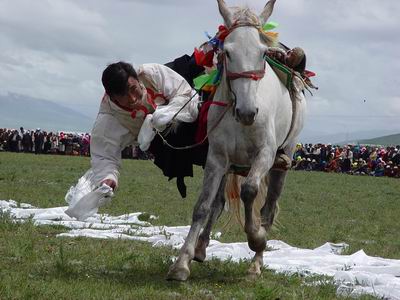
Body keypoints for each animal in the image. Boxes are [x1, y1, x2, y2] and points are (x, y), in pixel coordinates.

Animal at [166, 0, 306, 282]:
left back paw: (256, 264)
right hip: (230, 166)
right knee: (218, 203)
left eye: (262, 53)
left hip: (281, 163)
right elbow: (203, 206)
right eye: (227, 53)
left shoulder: (264, 155)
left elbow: (250, 192)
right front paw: (182, 262)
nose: (248, 112)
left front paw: (257, 239)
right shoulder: (217, 159)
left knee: (268, 209)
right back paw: (201, 248)